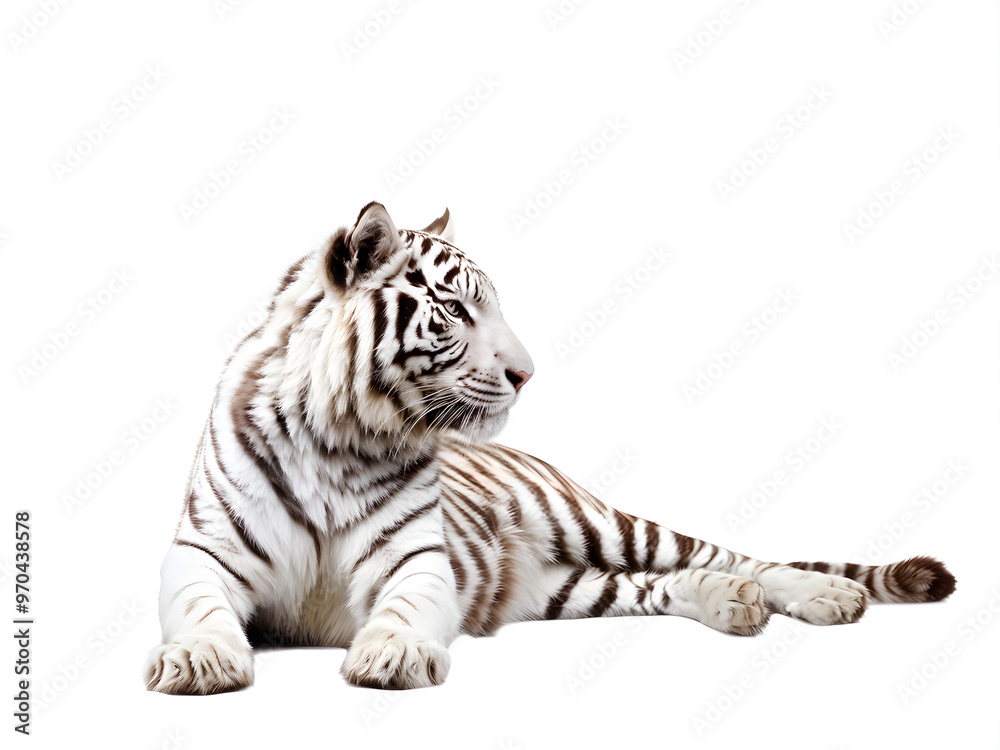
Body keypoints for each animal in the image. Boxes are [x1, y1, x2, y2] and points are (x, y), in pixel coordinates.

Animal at [144, 202, 956, 694]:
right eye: (454, 309)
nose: (527, 373)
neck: (338, 437)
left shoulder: (417, 559)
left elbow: (403, 608)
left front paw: (393, 654)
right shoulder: (206, 551)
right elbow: (199, 606)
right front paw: (200, 659)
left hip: (605, 525)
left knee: (731, 556)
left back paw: (824, 595)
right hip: (565, 589)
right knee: (662, 586)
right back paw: (734, 605)